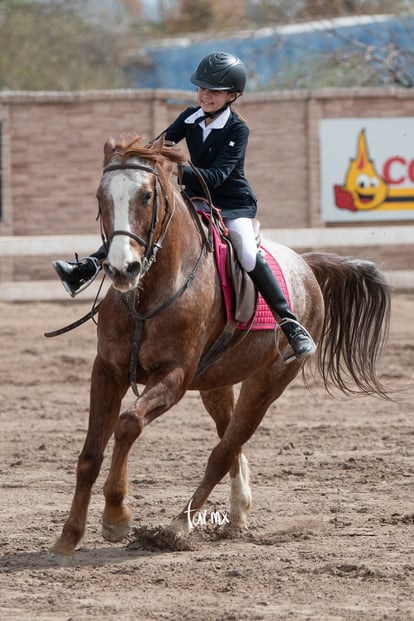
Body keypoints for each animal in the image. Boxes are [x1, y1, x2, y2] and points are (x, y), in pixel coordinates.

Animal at [49, 134, 392, 556]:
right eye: (101, 197)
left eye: (146, 196)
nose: (121, 269)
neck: (149, 292)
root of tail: (305, 267)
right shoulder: (107, 372)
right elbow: (89, 455)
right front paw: (69, 536)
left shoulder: (174, 378)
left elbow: (128, 424)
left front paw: (116, 518)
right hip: (216, 384)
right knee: (230, 444)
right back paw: (238, 511)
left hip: (266, 384)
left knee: (223, 451)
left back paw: (177, 527)